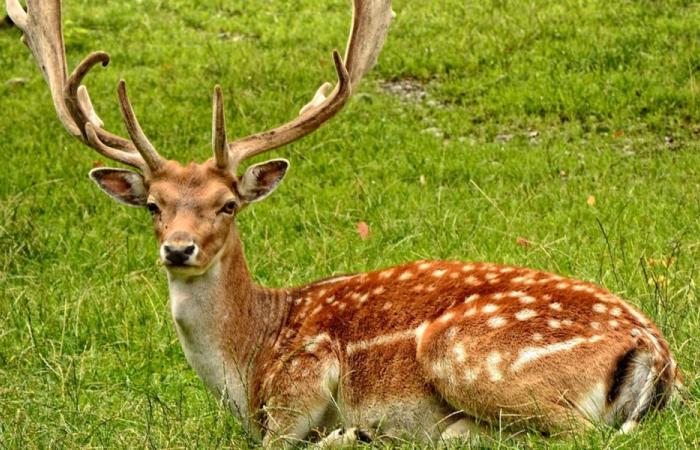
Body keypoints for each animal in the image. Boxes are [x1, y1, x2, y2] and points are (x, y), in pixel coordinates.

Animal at [6, 0, 684, 446]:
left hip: (466, 353)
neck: (248, 359)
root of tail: (656, 353)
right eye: (154, 205)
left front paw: (347, 432)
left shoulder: (303, 379)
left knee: (573, 433)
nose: (178, 249)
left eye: (228, 204)